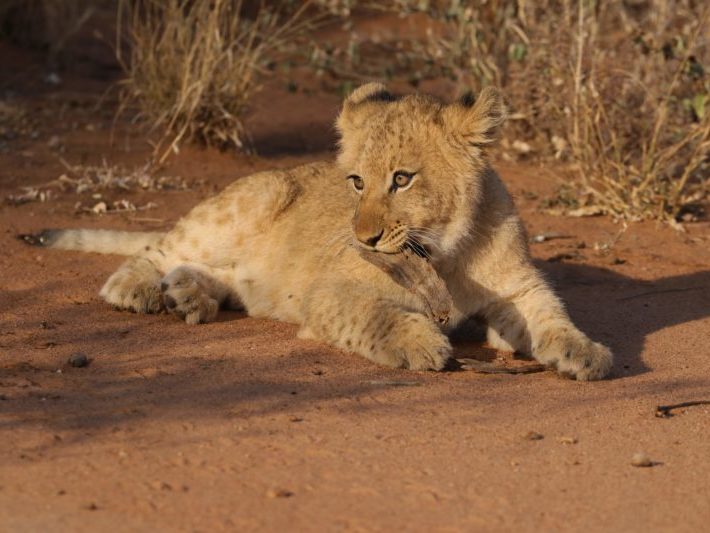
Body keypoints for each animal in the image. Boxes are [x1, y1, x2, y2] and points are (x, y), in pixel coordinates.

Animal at [21, 83, 613, 380]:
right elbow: (377, 316)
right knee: (157, 247)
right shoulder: (330, 291)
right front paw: (423, 344)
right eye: (356, 181)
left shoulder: (519, 287)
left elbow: (551, 315)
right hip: (251, 201)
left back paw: (189, 295)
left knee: (221, 278)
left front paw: (583, 352)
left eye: (402, 179)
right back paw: (139, 289)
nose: (365, 239)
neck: (448, 252)